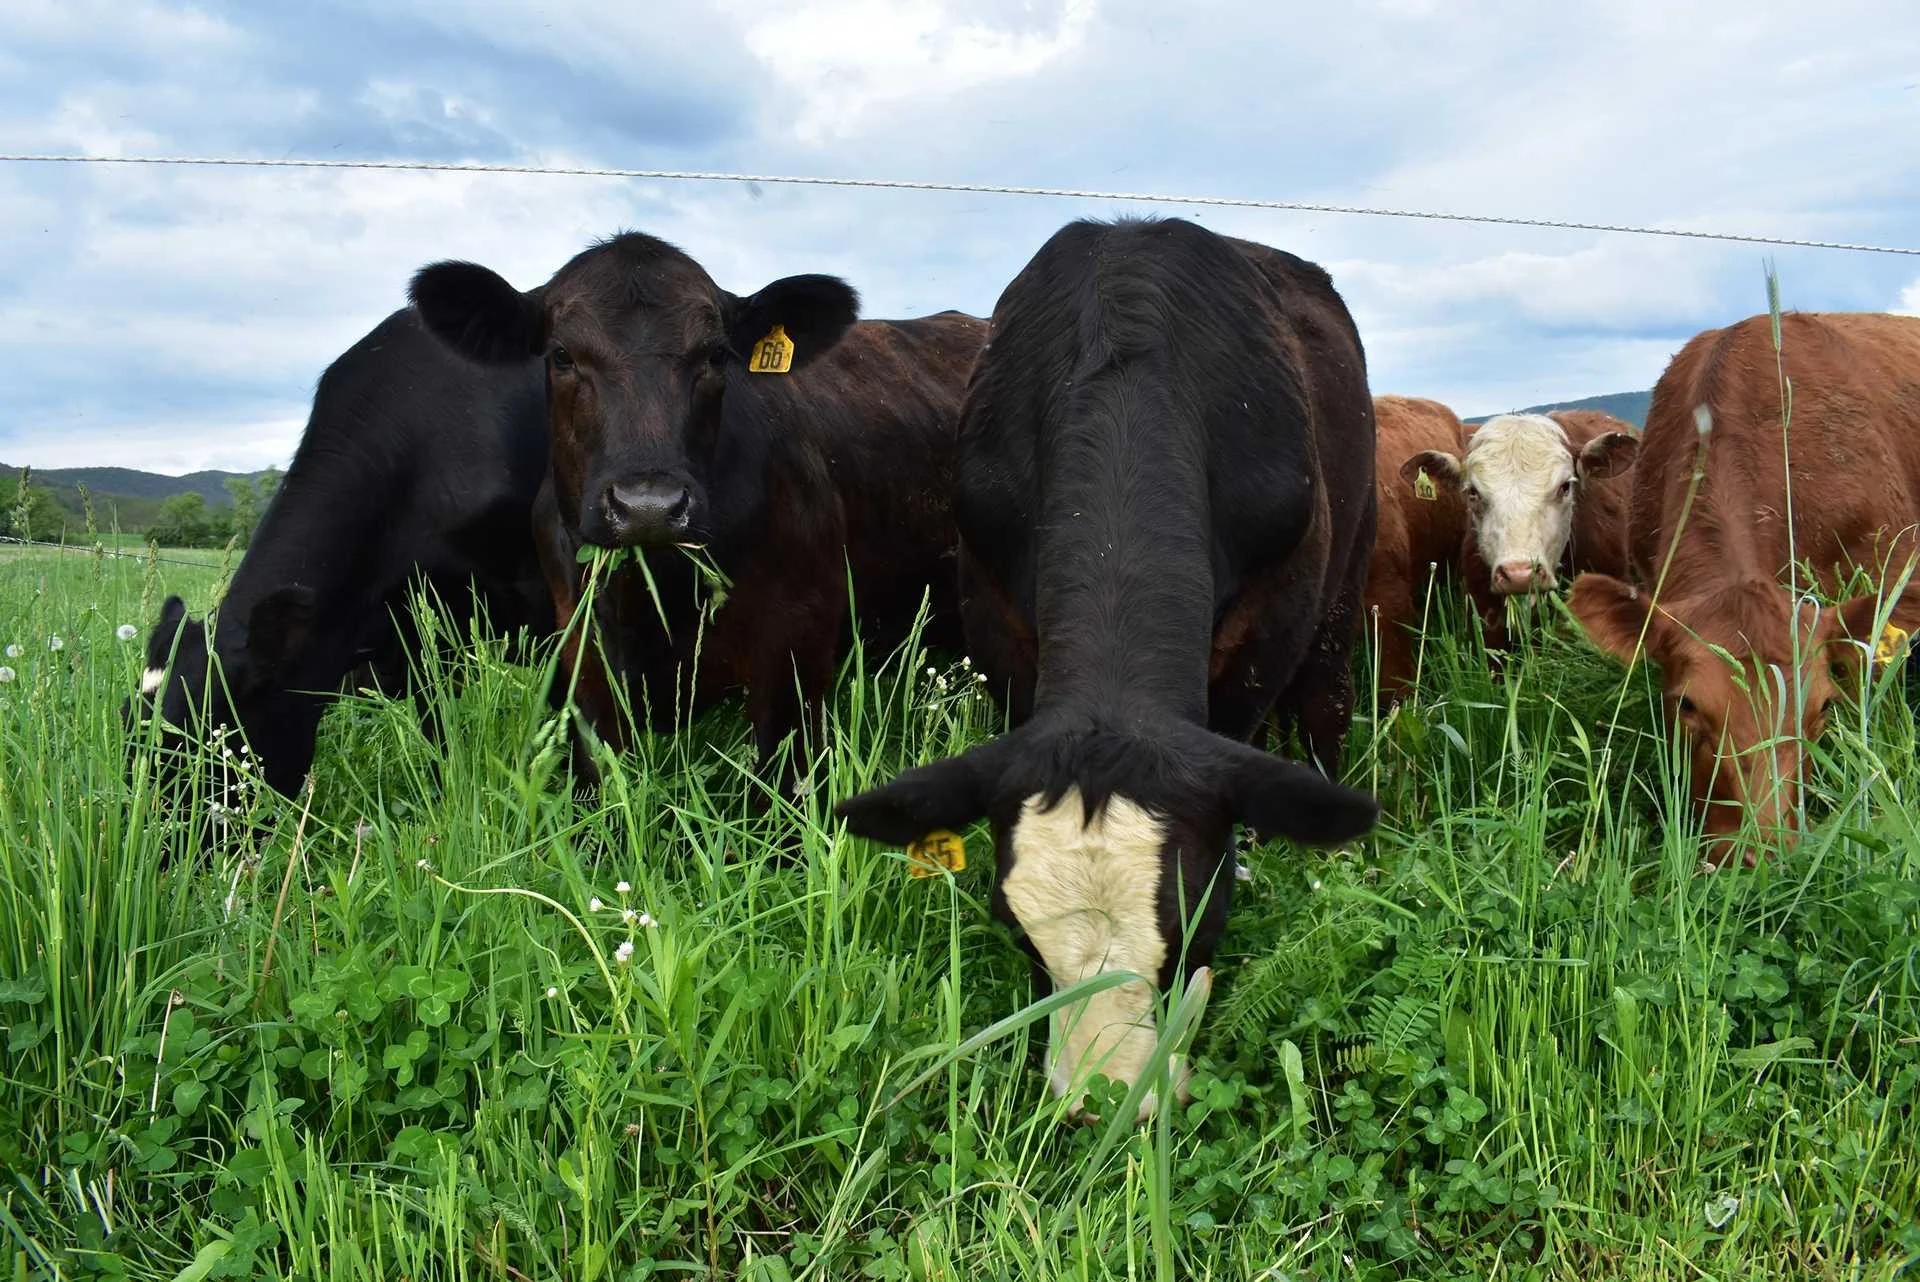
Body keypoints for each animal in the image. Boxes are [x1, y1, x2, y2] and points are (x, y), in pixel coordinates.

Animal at [833, 217, 1381, 1121]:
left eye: (1204, 920)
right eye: (1015, 926)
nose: (1106, 1101)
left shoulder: (1271, 625)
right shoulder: (998, 618)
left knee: (1326, 708)